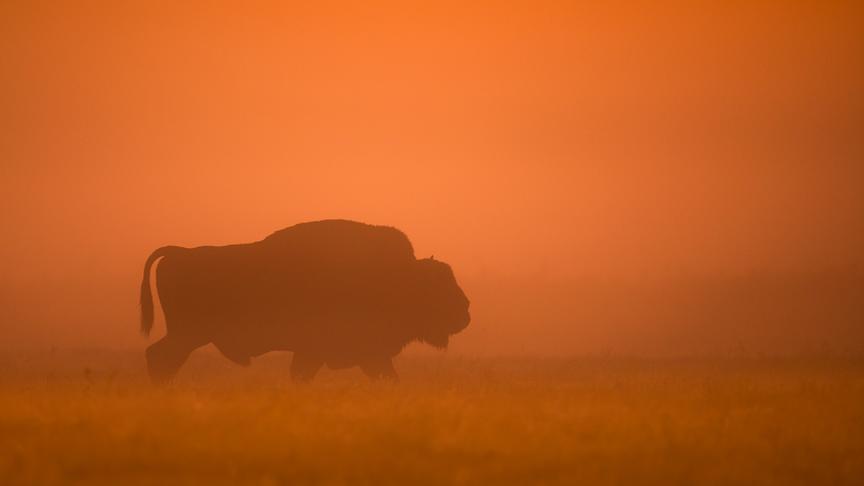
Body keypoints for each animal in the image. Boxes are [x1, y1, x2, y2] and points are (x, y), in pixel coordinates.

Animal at [140, 219, 470, 383]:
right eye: (437, 286)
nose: (465, 312)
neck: (397, 276)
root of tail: (179, 252)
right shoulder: (342, 351)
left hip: (187, 335)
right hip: (187, 334)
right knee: (159, 358)